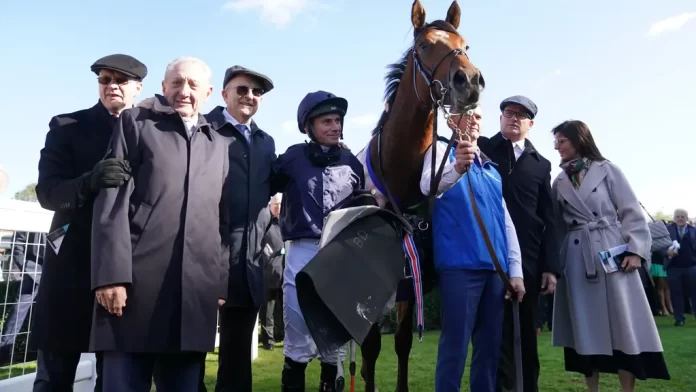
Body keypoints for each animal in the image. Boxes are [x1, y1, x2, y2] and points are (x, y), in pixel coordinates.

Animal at [354, 1, 484, 390]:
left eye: (465, 45)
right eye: (425, 45)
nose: (469, 81)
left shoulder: (409, 285)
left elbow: (402, 342)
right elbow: (370, 347)